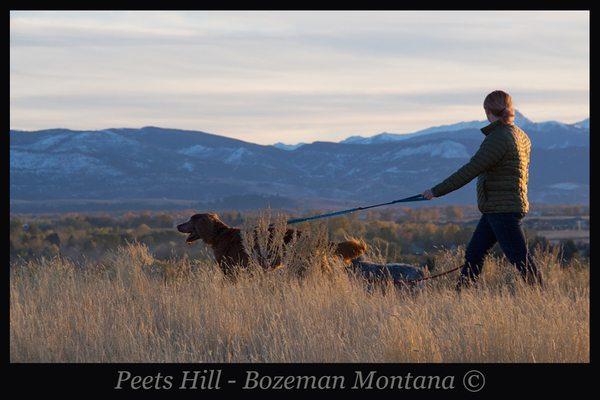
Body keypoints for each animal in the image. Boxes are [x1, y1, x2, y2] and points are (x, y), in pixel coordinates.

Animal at [177, 212, 366, 276]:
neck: (219, 234)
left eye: (190, 220)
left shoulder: (229, 269)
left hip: (302, 263)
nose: (178, 225)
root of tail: (312, 237)